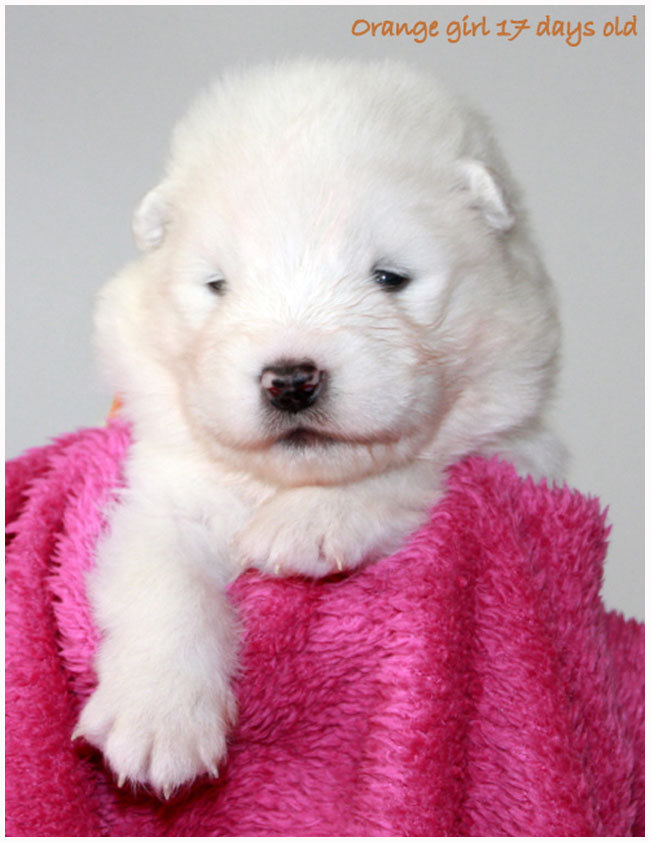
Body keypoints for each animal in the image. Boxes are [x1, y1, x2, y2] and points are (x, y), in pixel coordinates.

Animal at [73, 59, 563, 797]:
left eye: (390, 277)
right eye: (218, 285)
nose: (290, 379)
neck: (277, 483)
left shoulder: (521, 446)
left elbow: (407, 464)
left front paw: (310, 523)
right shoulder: (165, 489)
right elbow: (165, 585)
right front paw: (157, 719)